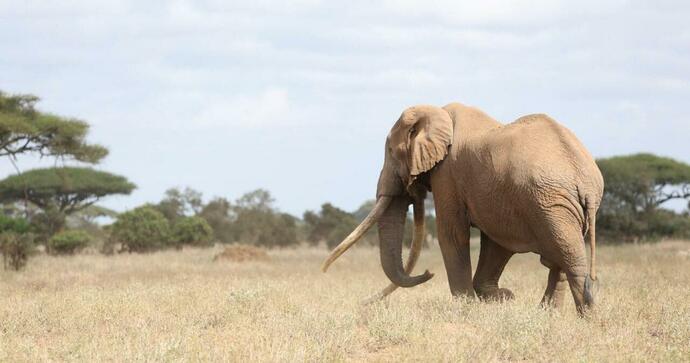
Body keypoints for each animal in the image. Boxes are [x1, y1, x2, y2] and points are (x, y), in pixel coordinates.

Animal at [320, 102, 600, 316]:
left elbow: (452, 234)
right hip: (552, 204)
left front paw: (468, 307)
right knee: (559, 258)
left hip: (550, 202)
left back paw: (586, 318)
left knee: (568, 258)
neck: (436, 113)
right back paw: (548, 315)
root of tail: (585, 180)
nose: (428, 272)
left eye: (390, 150)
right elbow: (496, 241)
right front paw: (502, 298)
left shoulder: (448, 175)